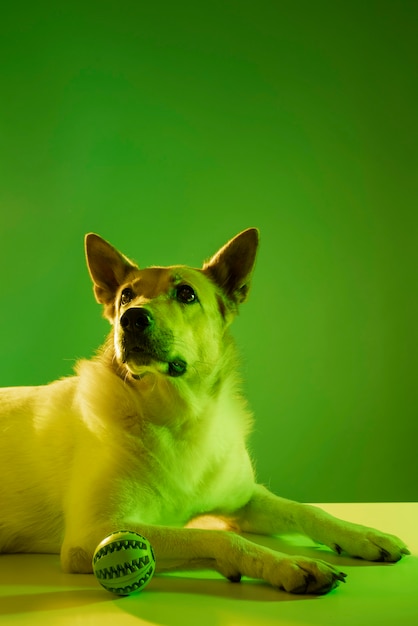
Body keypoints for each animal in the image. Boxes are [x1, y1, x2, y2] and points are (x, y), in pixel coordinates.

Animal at [0, 228, 410, 588]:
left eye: (186, 293)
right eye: (126, 296)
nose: (131, 318)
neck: (180, 416)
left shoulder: (246, 498)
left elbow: (308, 509)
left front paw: (362, 535)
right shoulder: (93, 533)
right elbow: (216, 538)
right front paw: (287, 564)